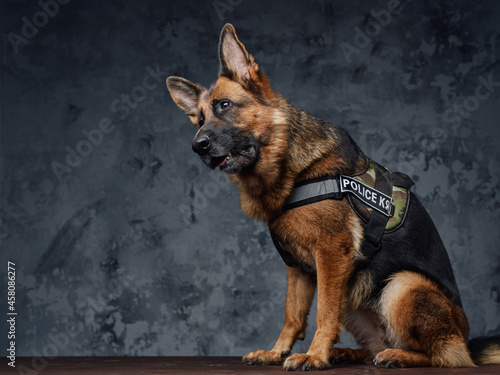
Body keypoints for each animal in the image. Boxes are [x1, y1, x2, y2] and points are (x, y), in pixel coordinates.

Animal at [166, 25, 498, 372]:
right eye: (199, 120)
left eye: (225, 106)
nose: (198, 146)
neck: (293, 168)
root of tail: (465, 339)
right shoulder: (297, 267)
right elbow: (293, 315)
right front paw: (277, 352)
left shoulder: (331, 254)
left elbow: (324, 312)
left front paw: (314, 355)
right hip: (353, 295)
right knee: (376, 346)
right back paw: (350, 353)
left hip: (401, 285)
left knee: (445, 356)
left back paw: (399, 356)